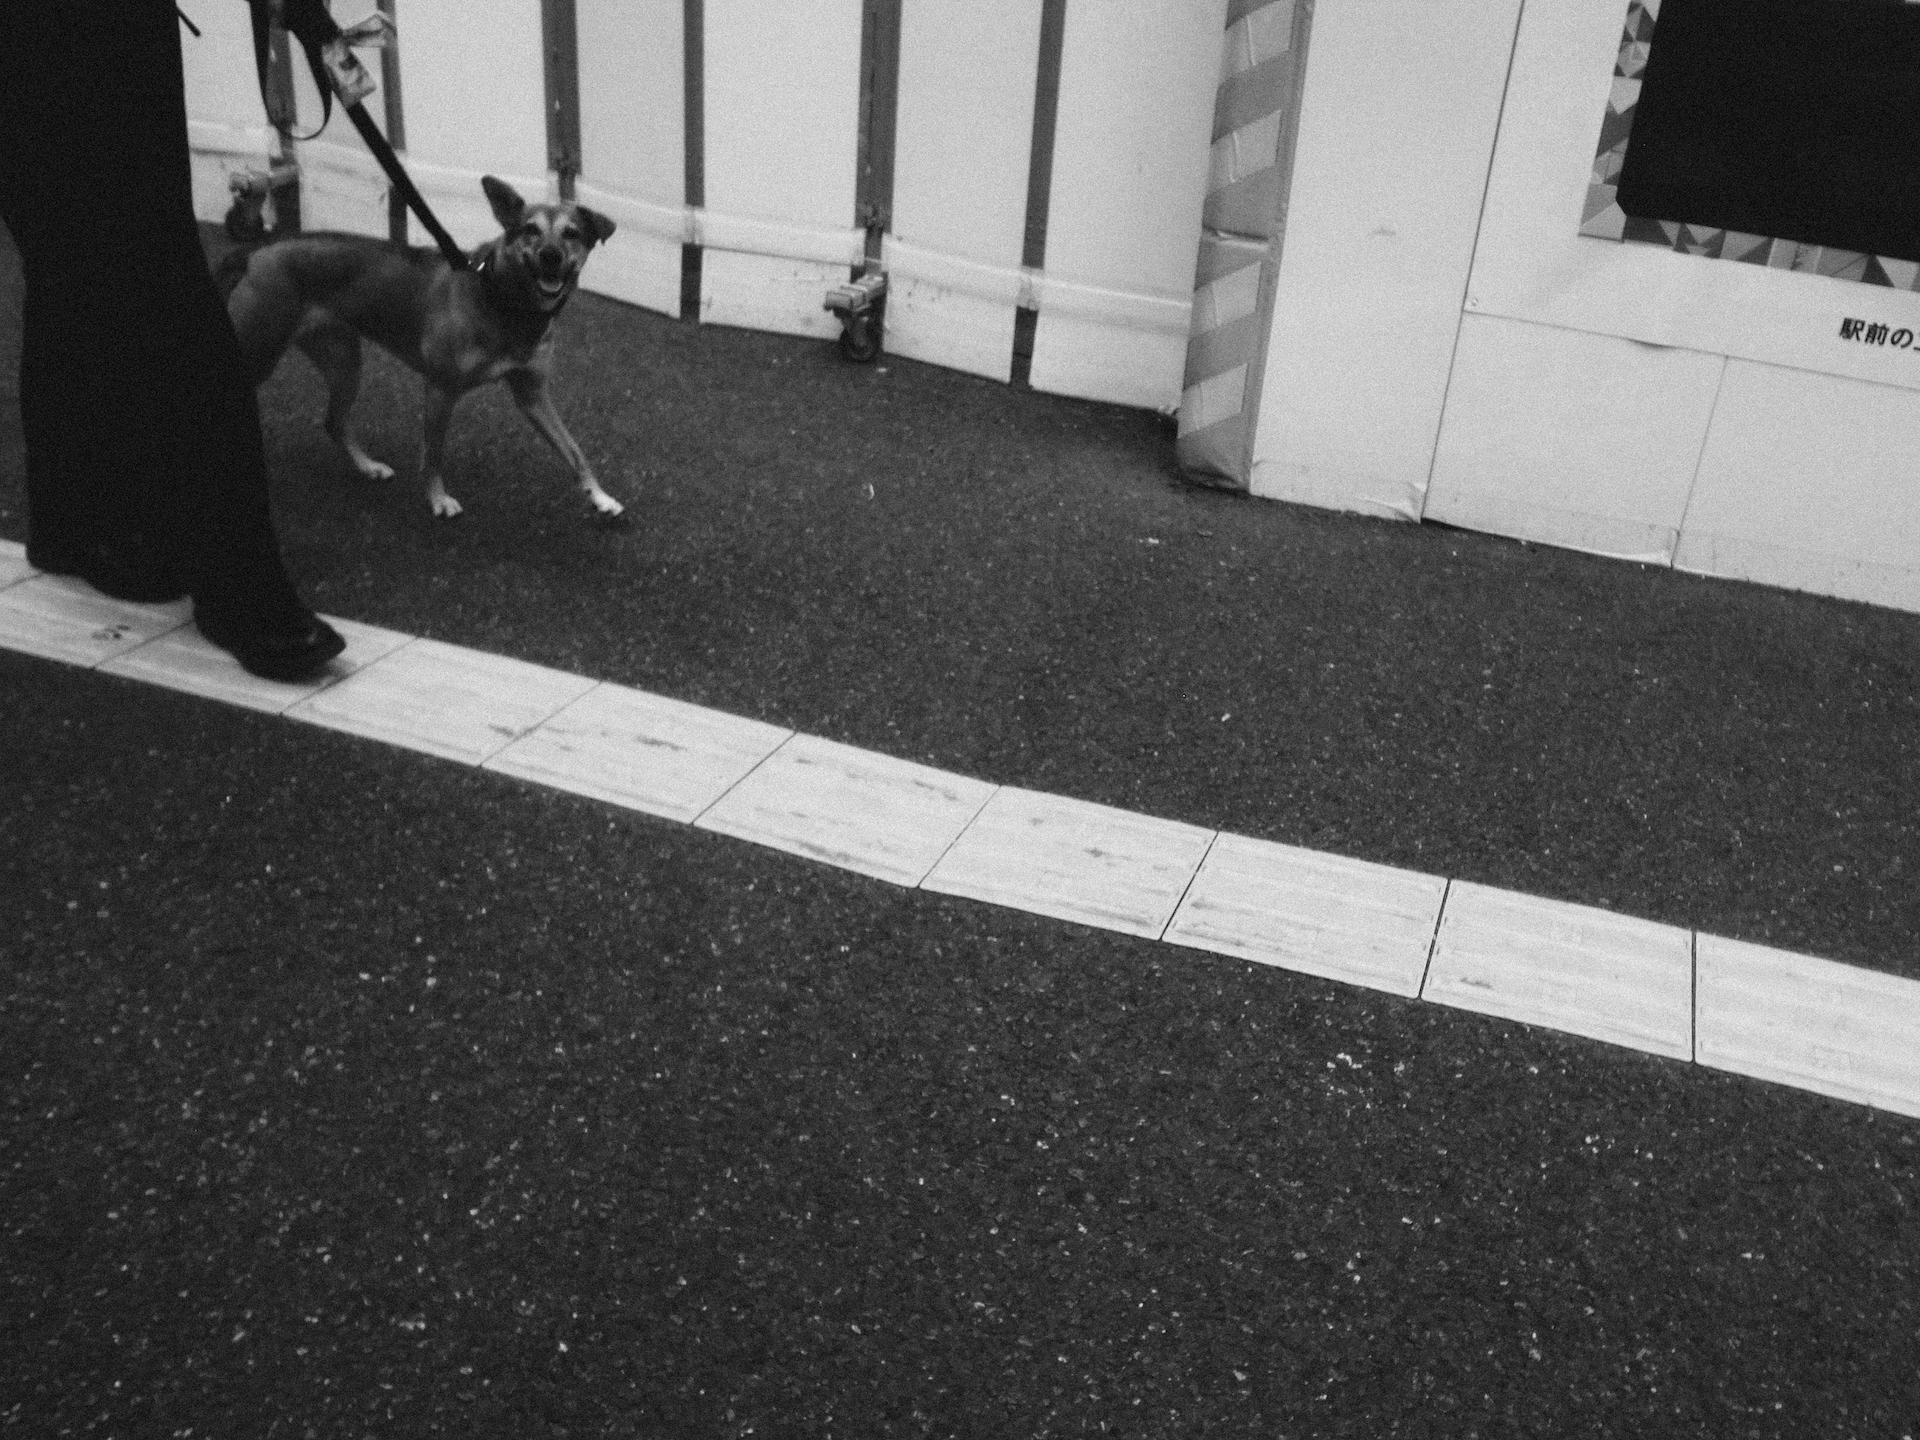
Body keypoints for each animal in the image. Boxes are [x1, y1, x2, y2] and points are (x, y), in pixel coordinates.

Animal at [221, 175, 622, 521]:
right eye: (530, 230)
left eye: (572, 234)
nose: (551, 255)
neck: (503, 300)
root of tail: (254, 253)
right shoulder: (441, 389)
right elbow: (433, 455)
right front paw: (438, 500)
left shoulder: (533, 394)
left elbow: (574, 451)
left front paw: (599, 496)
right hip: (259, 353)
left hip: (344, 362)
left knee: (334, 421)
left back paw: (368, 467)